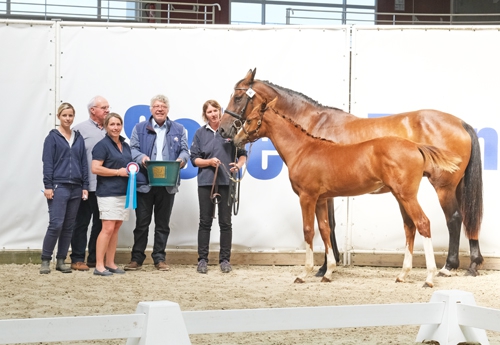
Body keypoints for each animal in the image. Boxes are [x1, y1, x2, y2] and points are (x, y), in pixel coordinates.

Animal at [220, 68, 484, 276]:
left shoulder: (319, 193)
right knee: (468, 218)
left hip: (443, 186)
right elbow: (330, 225)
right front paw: (330, 263)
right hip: (456, 186)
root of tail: (461, 123)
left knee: (454, 218)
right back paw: (473, 263)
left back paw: (449, 266)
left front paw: (324, 267)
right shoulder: (327, 192)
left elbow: (327, 225)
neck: (313, 126)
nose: (223, 130)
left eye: (238, 96)